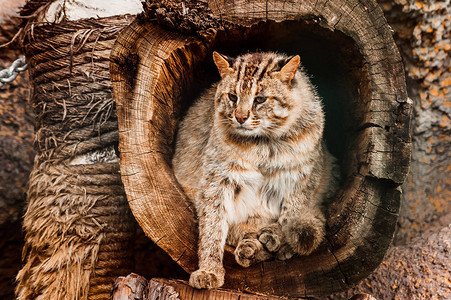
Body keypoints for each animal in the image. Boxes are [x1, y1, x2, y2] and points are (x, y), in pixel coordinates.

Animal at [173, 51, 340, 288]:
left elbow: (292, 213)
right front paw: (209, 269)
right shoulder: (216, 178)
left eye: (260, 99)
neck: (265, 143)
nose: (240, 117)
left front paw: (281, 238)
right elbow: (213, 224)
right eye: (232, 97)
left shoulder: (304, 175)